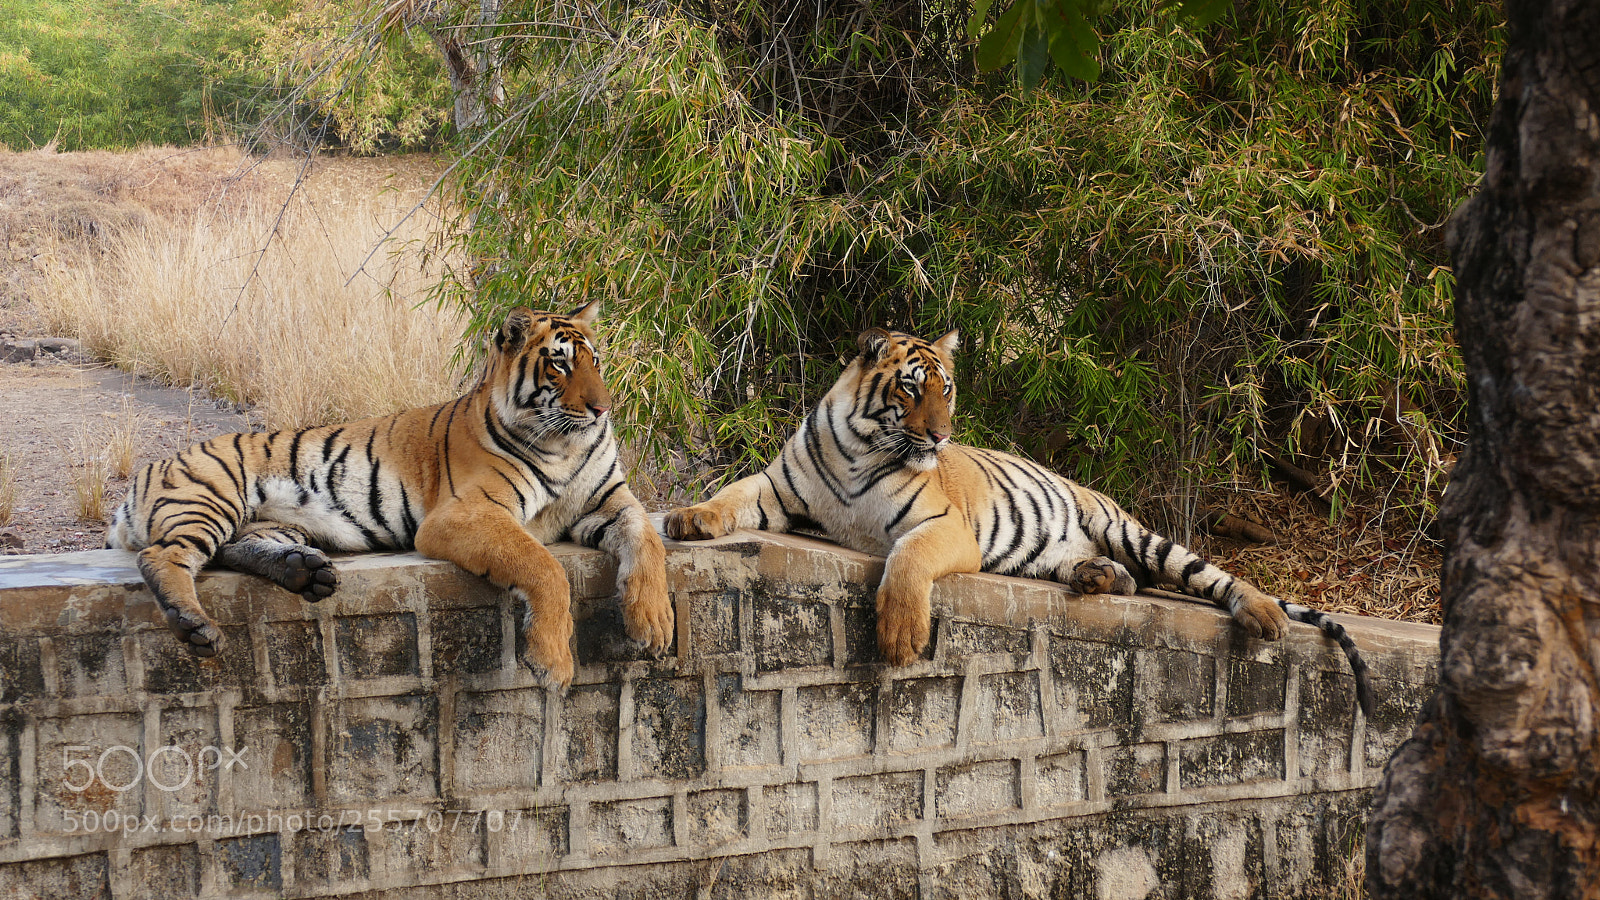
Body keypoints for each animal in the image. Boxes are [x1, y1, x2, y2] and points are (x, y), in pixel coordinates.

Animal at [106, 302, 672, 690]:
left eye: (595, 362)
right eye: (559, 365)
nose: (603, 410)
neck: (564, 447)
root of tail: (149, 468)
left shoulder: (611, 501)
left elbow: (648, 540)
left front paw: (655, 624)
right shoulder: (465, 513)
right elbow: (543, 566)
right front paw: (553, 662)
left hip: (268, 520)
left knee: (234, 548)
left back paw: (304, 571)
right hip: (209, 496)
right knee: (164, 555)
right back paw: (194, 625)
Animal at [665, 327, 1374, 716]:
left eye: (947, 388)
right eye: (910, 387)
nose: (942, 437)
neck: (864, 444)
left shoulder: (942, 525)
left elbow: (905, 561)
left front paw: (899, 636)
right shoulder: (778, 489)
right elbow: (729, 494)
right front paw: (687, 518)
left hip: (1131, 530)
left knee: (1211, 576)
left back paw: (1263, 615)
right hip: (1061, 550)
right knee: (1131, 579)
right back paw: (1099, 579)